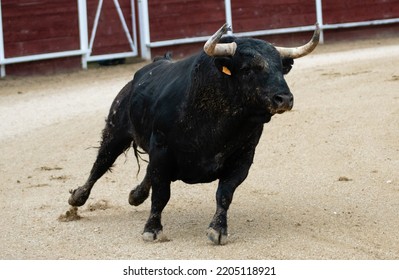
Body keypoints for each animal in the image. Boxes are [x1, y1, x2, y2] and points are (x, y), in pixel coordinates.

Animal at [68, 23, 318, 244]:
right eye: (248, 68)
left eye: (281, 69)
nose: (284, 98)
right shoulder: (162, 151)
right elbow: (161, 193)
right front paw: (152, 230)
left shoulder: (243, 158)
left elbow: (224, 193)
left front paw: (218, 230)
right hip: (116, 132)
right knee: (101, 163)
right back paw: (77, 198)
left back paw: (136, 195)